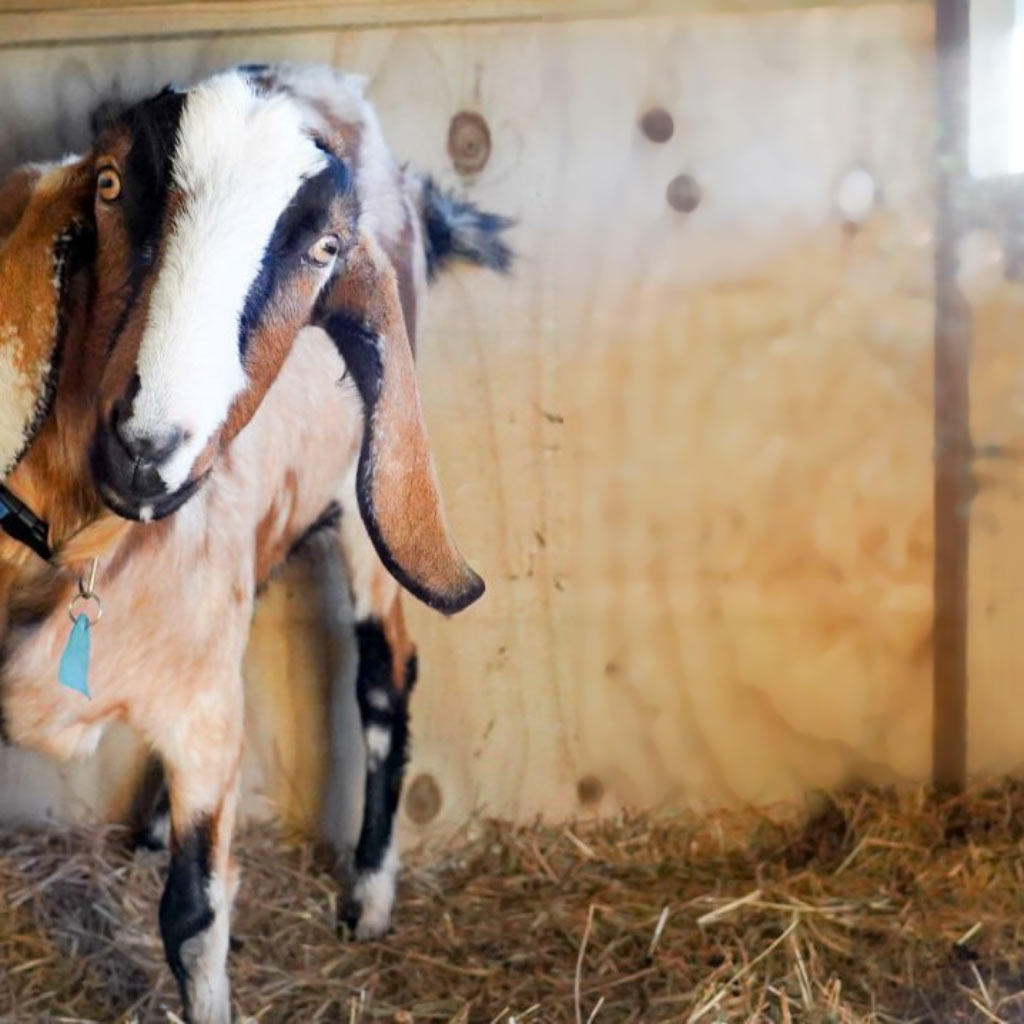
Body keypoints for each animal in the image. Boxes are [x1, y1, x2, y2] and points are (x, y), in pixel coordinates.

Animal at [0, 63, 511, 1024]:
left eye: (324, 251)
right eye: (110, 185)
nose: (146, 447)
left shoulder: (204, 718)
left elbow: (196, 919)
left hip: (363, 515)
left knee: (385, 675)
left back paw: (369, 897)